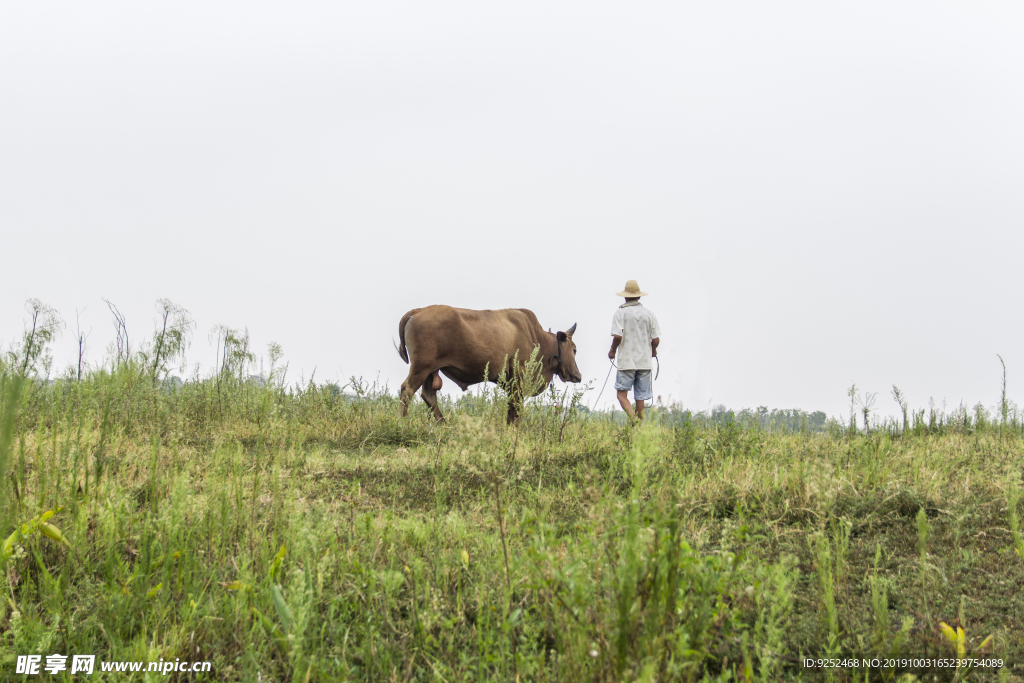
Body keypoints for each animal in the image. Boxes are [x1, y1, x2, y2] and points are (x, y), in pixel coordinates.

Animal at [395, 305, 581, 421]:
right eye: (574, 349)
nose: (578, 376)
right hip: (421, 368)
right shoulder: (518, 380)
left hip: (431, 371)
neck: (536, 337)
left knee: (429, 396)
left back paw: (444, 425)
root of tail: (418, 311)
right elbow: (515, 411)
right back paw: (402, 423)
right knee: (407, 390)